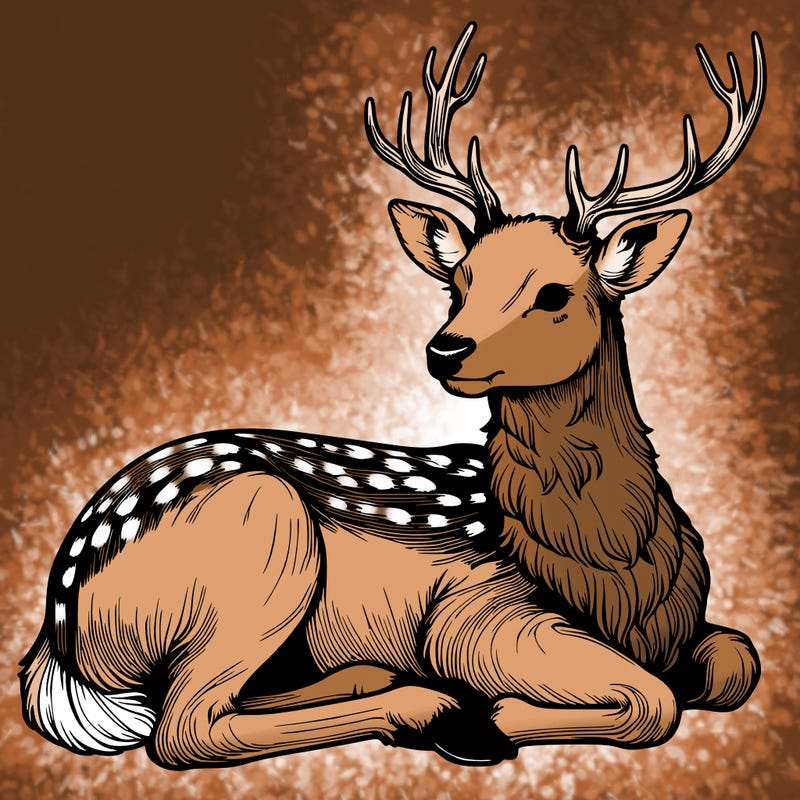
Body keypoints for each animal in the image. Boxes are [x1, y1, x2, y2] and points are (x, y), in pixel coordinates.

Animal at [20, 23, 765, 769]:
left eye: (555, 293)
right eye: (459, 281)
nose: (446, 348)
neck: (616, 574)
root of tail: (56, 634)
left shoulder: (693, 627)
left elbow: (738, 660)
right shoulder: (478, 610)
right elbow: (654, 700)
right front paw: (490, 716)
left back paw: (378, 678)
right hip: (264, 537)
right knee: (182, 727)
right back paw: (434, 710)